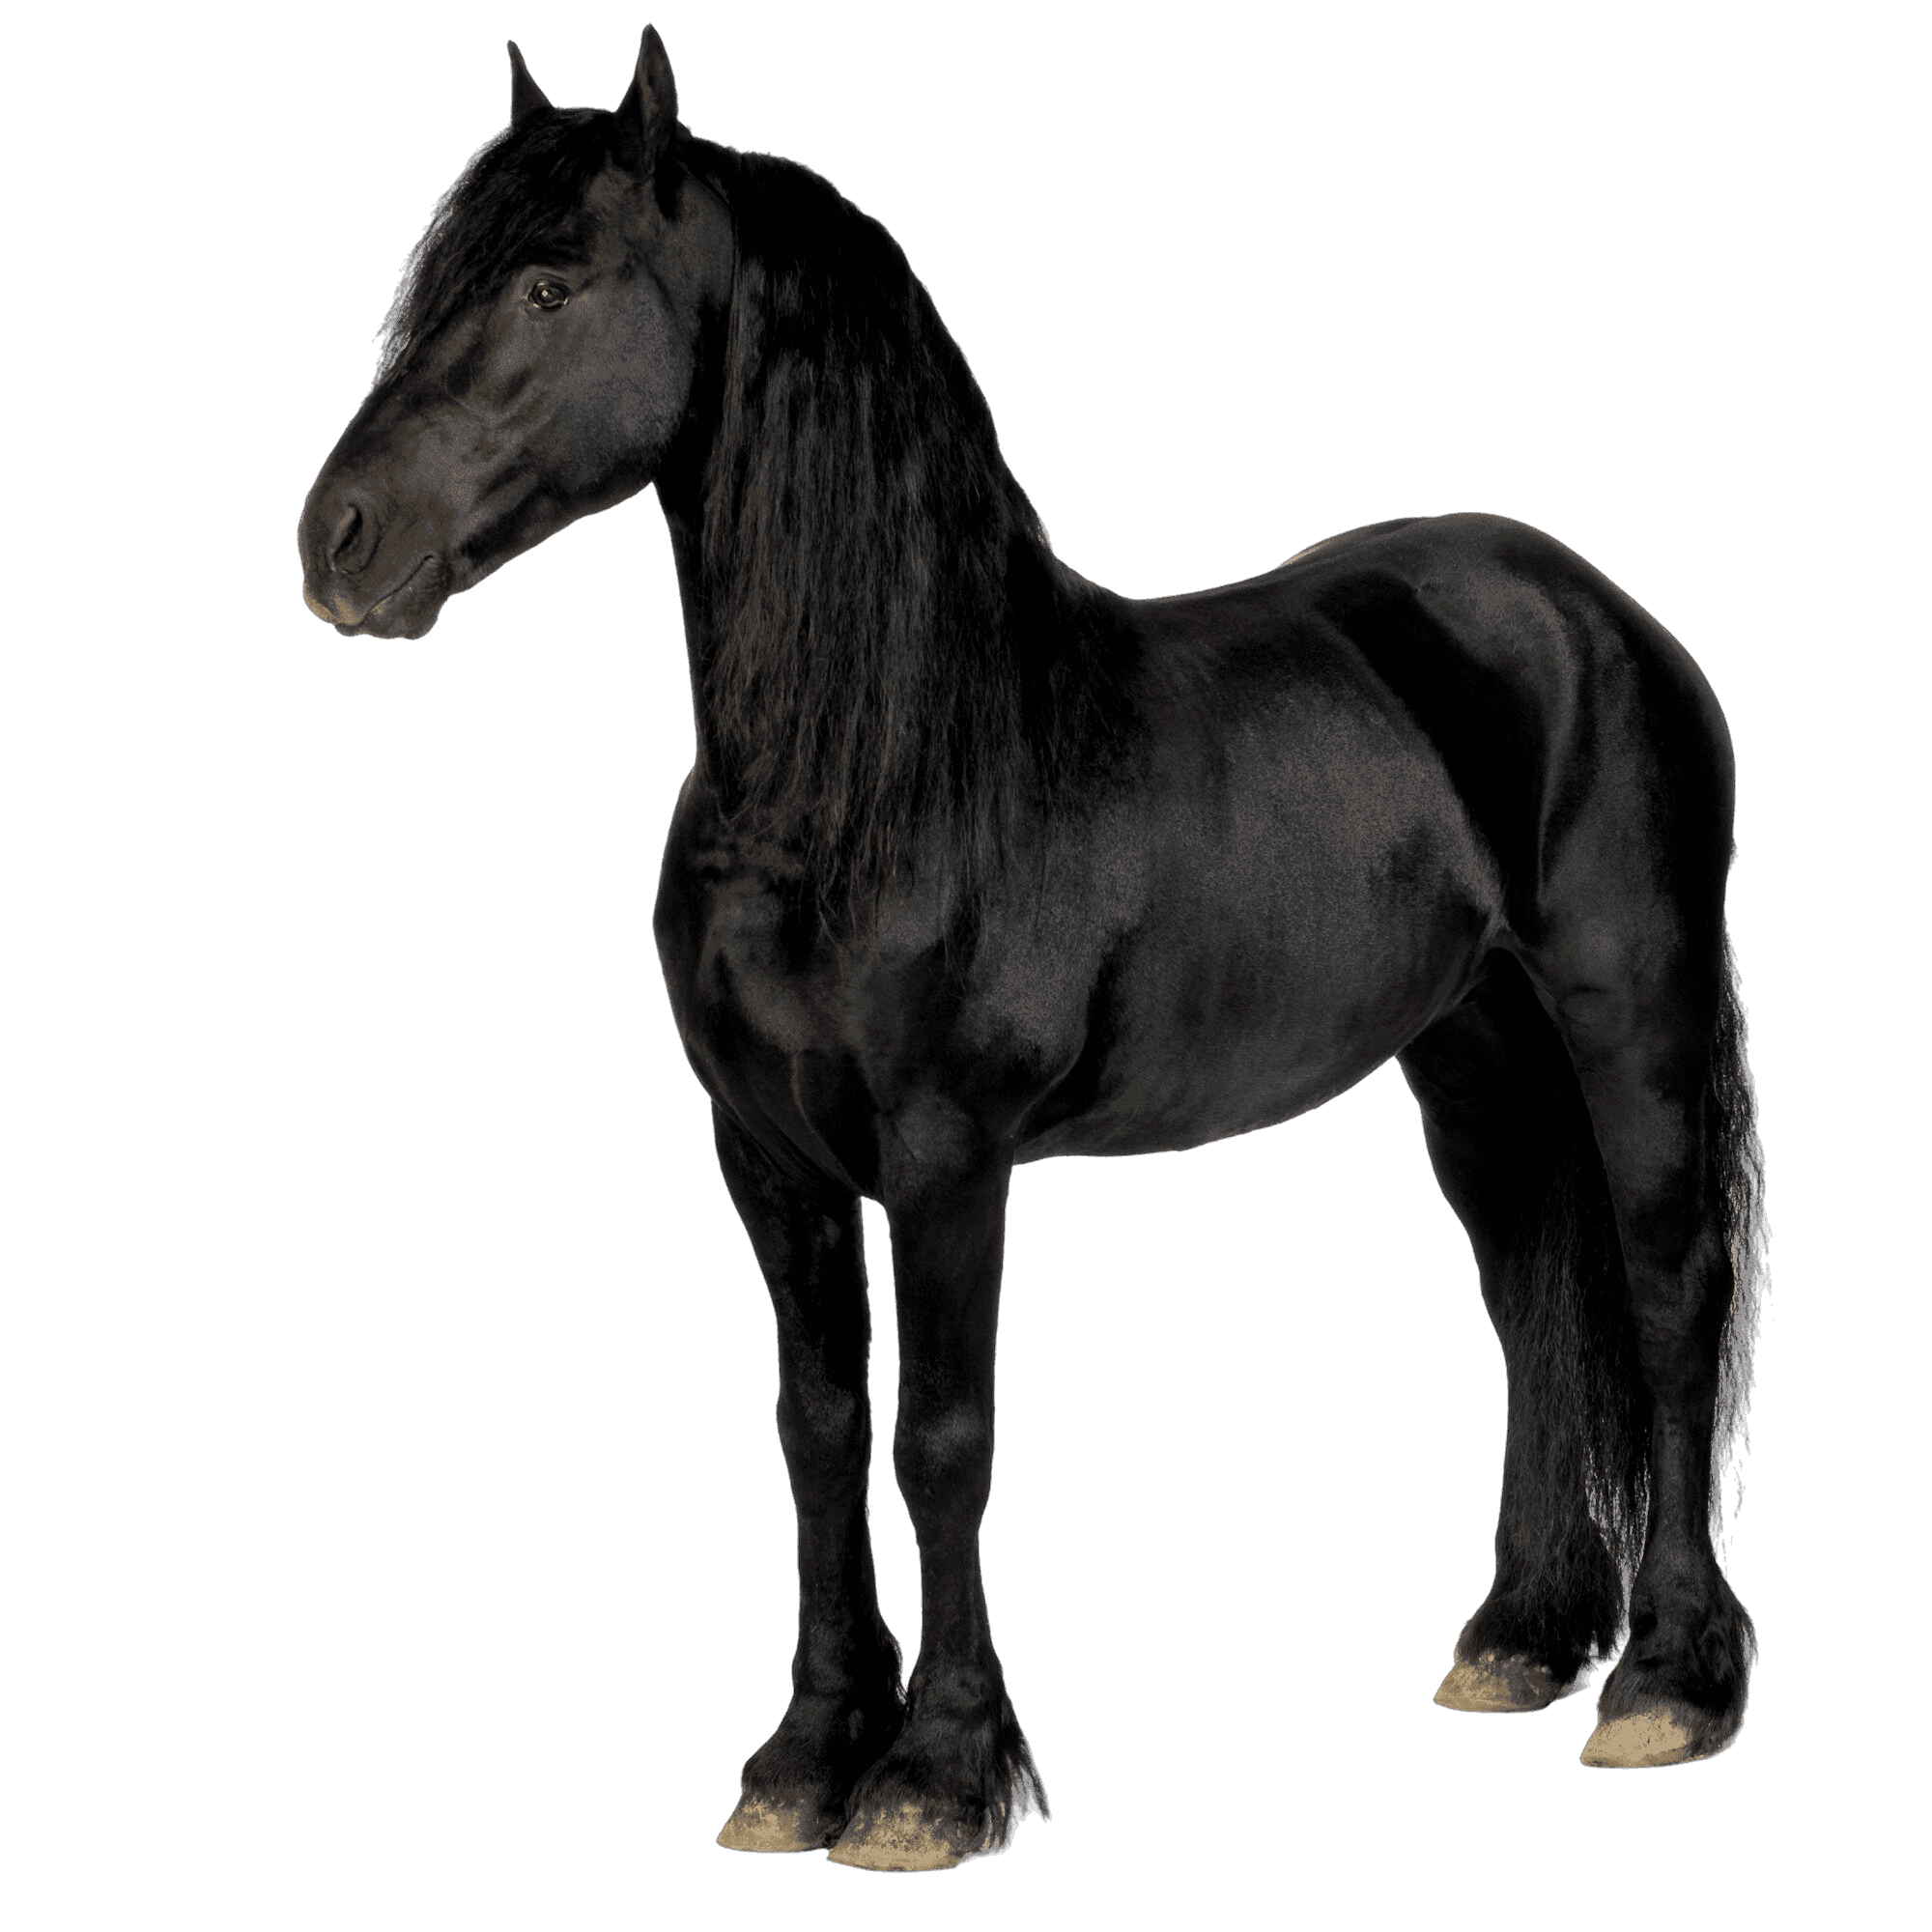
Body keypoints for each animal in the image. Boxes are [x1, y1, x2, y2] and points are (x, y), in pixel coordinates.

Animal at [299, 28, 1769, 1872]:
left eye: (553, 281)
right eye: (437, 284)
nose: (337, 541)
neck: (884, 761)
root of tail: (1590, 610)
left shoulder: (950, 1152)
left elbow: (942, 1440)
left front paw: (933, 1779)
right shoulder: (763, 1155)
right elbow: (818, 1433)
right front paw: (804, 1760)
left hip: (1625, 1002)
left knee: (1666, 1288)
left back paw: (1668, 1685)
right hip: (1475, 1052)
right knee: (1529, 1305)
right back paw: (1516, 1642)